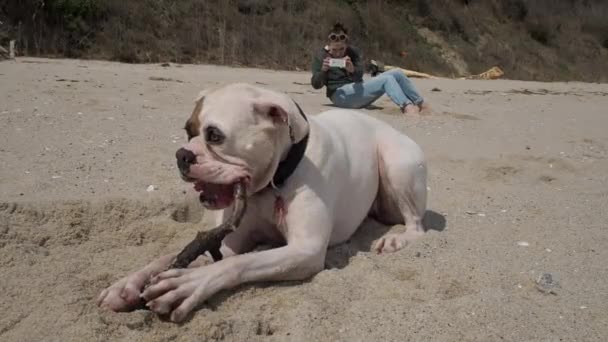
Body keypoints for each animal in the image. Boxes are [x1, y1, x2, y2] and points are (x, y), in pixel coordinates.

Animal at [96, 83, 428, 324]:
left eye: (214, 135)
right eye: (188, 131)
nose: (182, 155)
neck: (274, 181)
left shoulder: (305, 251)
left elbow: (236, 264)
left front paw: (187, 284)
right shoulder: (226, 242)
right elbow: (168, 257)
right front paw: (126, 285)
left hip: (397, 164)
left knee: (417, 225)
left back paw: (396, 240)